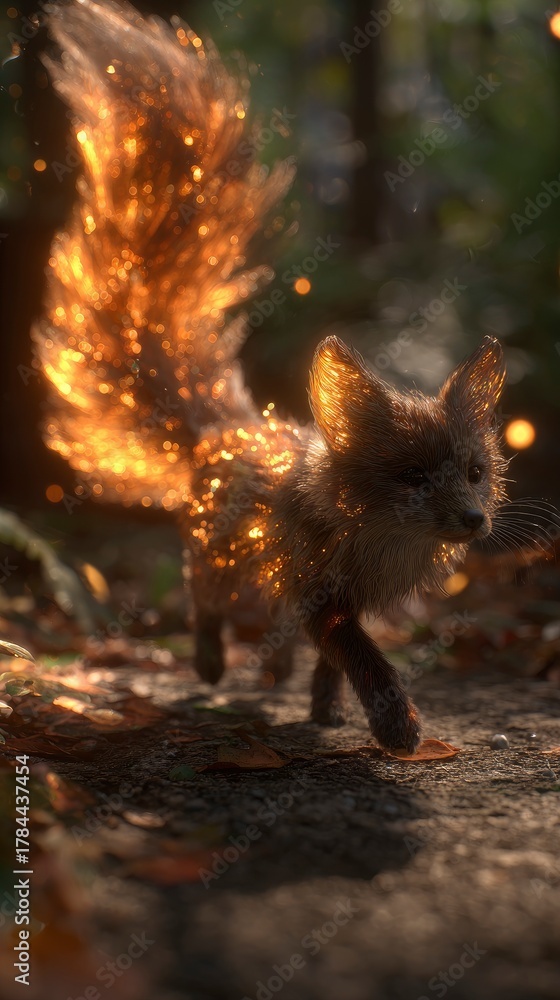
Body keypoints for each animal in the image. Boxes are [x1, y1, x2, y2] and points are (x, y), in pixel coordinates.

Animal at [35, 0, 534, 753]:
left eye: (475, 472)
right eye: (414, 479)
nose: (475, 521)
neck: (375, 545)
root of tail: (230, 428)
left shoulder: (346, 601)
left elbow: (332, 665)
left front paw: (326, 710)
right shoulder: (323, 599)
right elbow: (364, 661)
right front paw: (395, 726)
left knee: (272, 632)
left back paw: (274, 675)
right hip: (219, 565)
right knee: (201, 600)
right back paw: (212, 664)